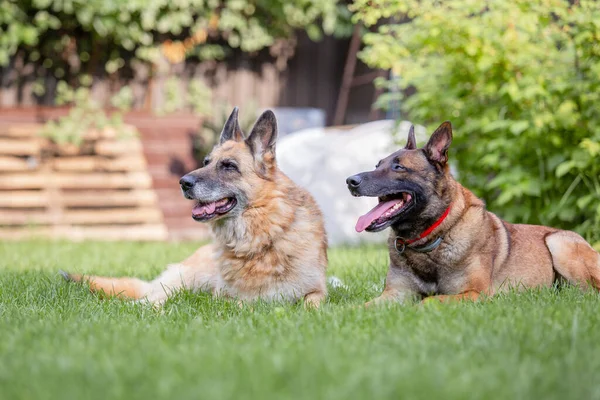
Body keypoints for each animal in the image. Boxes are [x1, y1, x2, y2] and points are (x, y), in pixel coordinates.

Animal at [63, 108, 328, 308]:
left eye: (229, 166)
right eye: (206, 162)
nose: (183, 182)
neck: (264, 237)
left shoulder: (317, 292)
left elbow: (311, 304)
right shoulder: (225, 298)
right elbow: (242, 303)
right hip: (184, 282)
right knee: (154, 298)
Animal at [346, 120, 600, 304]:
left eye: (398, 167)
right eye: (378, 165)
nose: (350, 181)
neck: (432, 237)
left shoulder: (475, 294)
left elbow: (428, 301)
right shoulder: (395, 294)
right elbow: (361, 307)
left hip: (559, 244)